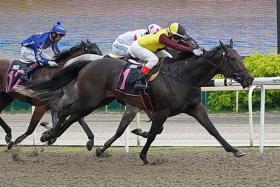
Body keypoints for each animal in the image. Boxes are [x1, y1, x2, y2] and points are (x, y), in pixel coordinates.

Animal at [26, 39, 254, 164]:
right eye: (232, 58)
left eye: (240, 57)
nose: (250, 79)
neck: (183, 76)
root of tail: (88, 64)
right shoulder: (161, 111)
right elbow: (153, 134)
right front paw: (144, 155)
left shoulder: (195, 107)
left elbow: (213, 130)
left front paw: (236, 150)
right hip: (90, 100)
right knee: (65, 111)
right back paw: (49, 134)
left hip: (98, 100)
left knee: (73, 116)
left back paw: (59, 136)